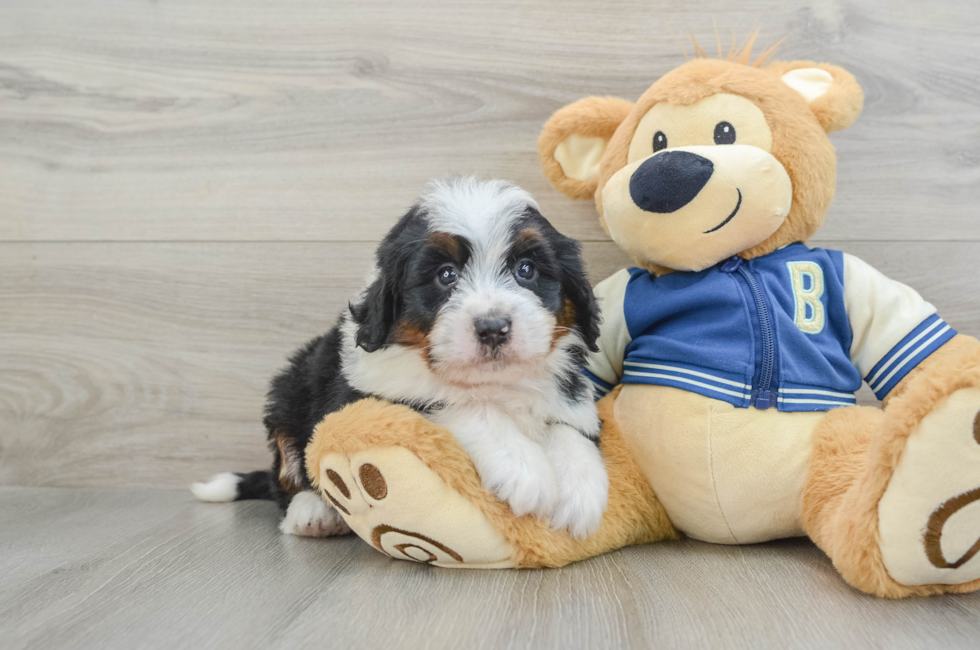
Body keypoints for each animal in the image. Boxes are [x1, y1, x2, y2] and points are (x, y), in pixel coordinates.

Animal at [192, 176, 608, 536]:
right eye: (445, 275)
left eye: (526, 269)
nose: (493, 328)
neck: (493, 382)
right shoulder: (371, 392)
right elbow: (458, 403)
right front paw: (523, 467)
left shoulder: (570, 392)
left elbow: (570, 427)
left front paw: (580, 488)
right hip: (290, 392)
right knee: (288, 472)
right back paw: (313, 512)